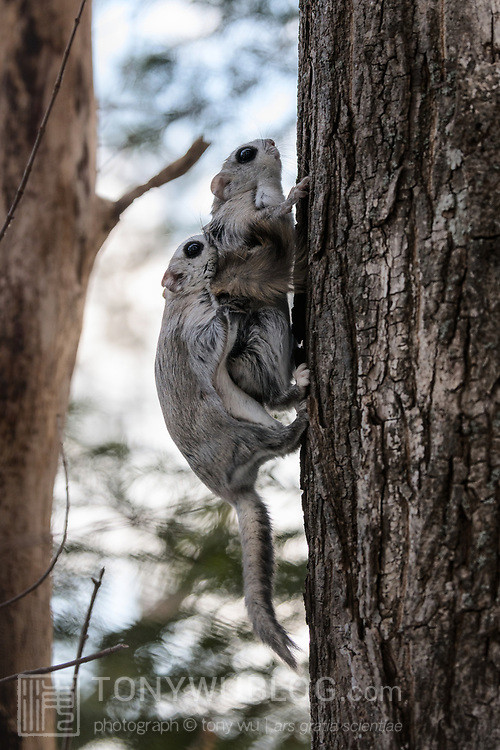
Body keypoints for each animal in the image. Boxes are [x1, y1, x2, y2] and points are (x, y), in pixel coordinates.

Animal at [155, 234, 309, 668]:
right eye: (192, 249)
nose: (208, 235)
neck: (183, 299)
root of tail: (233, 491)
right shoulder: (192, 333)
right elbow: (214, 335)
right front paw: (229, 308)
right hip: (239, 435)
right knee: (279, 441)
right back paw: (298, 422)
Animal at [204, 139, 310, 409]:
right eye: (245, 154)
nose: (271, 141)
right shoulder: (242, 219)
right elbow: (274, 212)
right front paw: (296, 191)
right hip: (265, 334)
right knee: (274, 398)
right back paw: (297, 386)